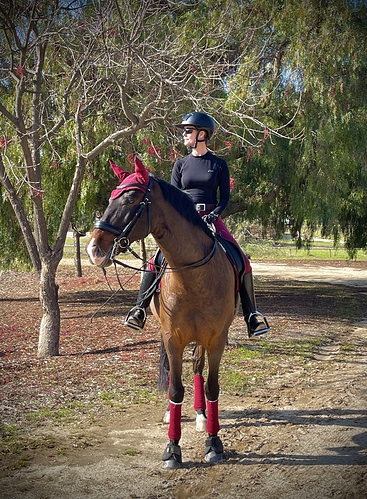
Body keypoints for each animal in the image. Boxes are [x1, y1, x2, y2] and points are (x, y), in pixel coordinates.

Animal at [87, 156, 240, 468]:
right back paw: (175, 413)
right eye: (110, 197)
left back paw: (201, 416)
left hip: (202, 340)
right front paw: (172, 447)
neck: (193, 276)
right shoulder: (172, 338)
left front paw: (214, 443)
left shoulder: (217, 340)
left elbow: (212, 386)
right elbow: (175, 388)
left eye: (130, 197)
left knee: (197, 368)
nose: (94, 249)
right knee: (174, 373)